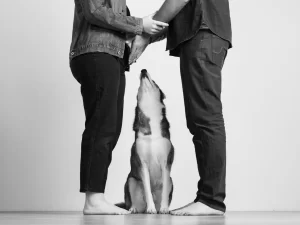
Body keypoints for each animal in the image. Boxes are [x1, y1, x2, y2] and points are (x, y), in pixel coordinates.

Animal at [120, 69, 175, 214]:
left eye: (154, 82)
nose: (143, 70)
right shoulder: (142, 164)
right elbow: (147, 189)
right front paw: (151, 209)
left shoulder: (166, 163)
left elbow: (164, 191)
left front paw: (164, 208)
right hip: (131, 180)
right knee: (133, 202)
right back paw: (135, 208)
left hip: (171, 180)